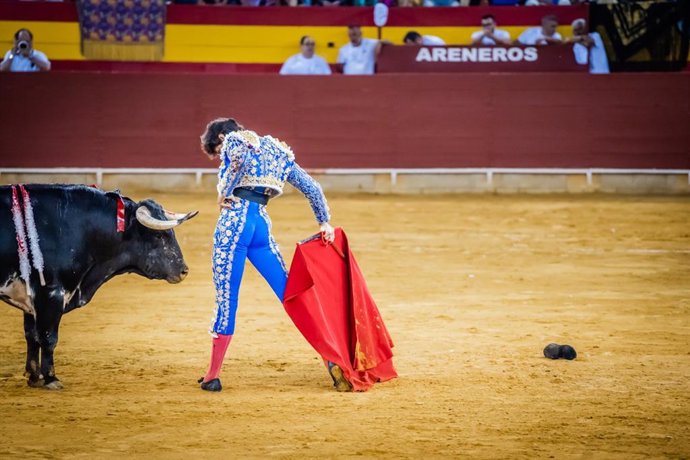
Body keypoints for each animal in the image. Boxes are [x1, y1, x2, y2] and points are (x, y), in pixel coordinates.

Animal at [0, 183, 196, 388]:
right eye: (158, 235)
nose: (184, 271)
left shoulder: (32, 299)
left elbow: (32, 336)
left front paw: (34, 376)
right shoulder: (50, 293)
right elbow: (48, 337)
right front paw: (51, 378)